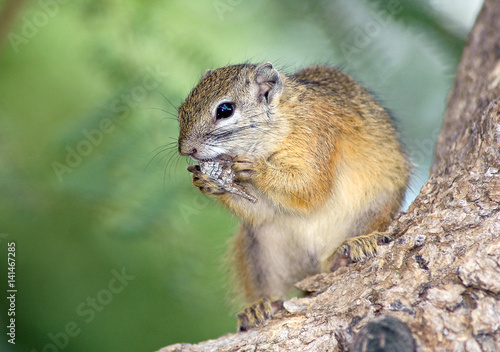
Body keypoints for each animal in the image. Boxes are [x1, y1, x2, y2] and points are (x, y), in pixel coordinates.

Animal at [178, 62, 408, 330]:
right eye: (182, 108)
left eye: (225, 110)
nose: (186, 150)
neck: (285, 118)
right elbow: (261, 207)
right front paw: (207, 182)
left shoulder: (317, 137)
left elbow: (310, 188)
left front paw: (259, 169)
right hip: (260, 248)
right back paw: (260, 307)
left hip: (375, 210)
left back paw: (350, 249)